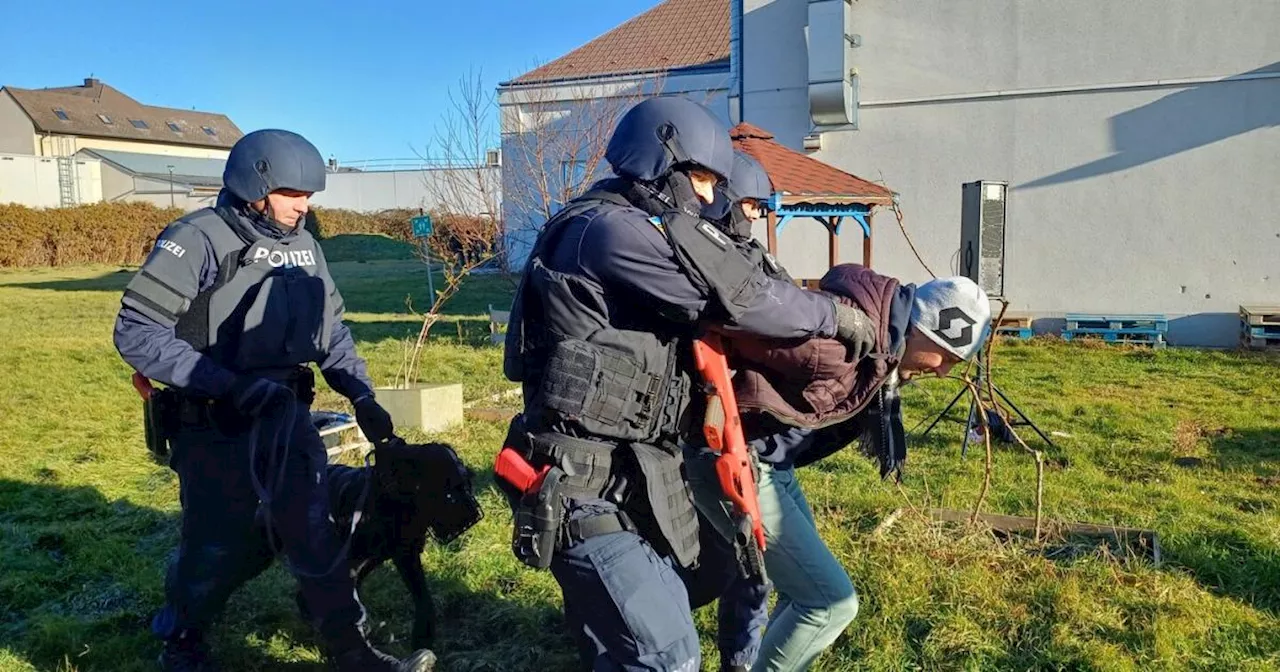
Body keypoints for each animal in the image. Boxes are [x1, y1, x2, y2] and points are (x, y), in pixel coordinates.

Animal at [303, 437, 481, 647]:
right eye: (448, 490)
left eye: (466, 483)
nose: (472, 512)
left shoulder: (405, 556)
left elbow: (424, 599)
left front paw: (422, 637)